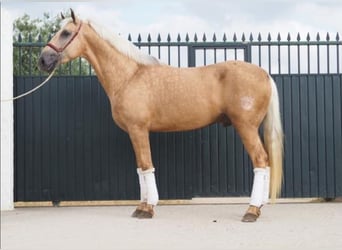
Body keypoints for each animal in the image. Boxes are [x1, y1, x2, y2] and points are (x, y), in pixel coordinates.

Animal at [38, 9, 284, 222]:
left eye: (66, 33)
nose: (43, 60)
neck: (130, 75)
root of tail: (264, 74)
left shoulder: (138, 129)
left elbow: (147, 165)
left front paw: (148, 209)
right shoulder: (134, 132)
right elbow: (140, 168)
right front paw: (141, 207)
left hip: (246, 127)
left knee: (260, 161)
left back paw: (251, 210)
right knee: (266, 163)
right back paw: (259, 206)